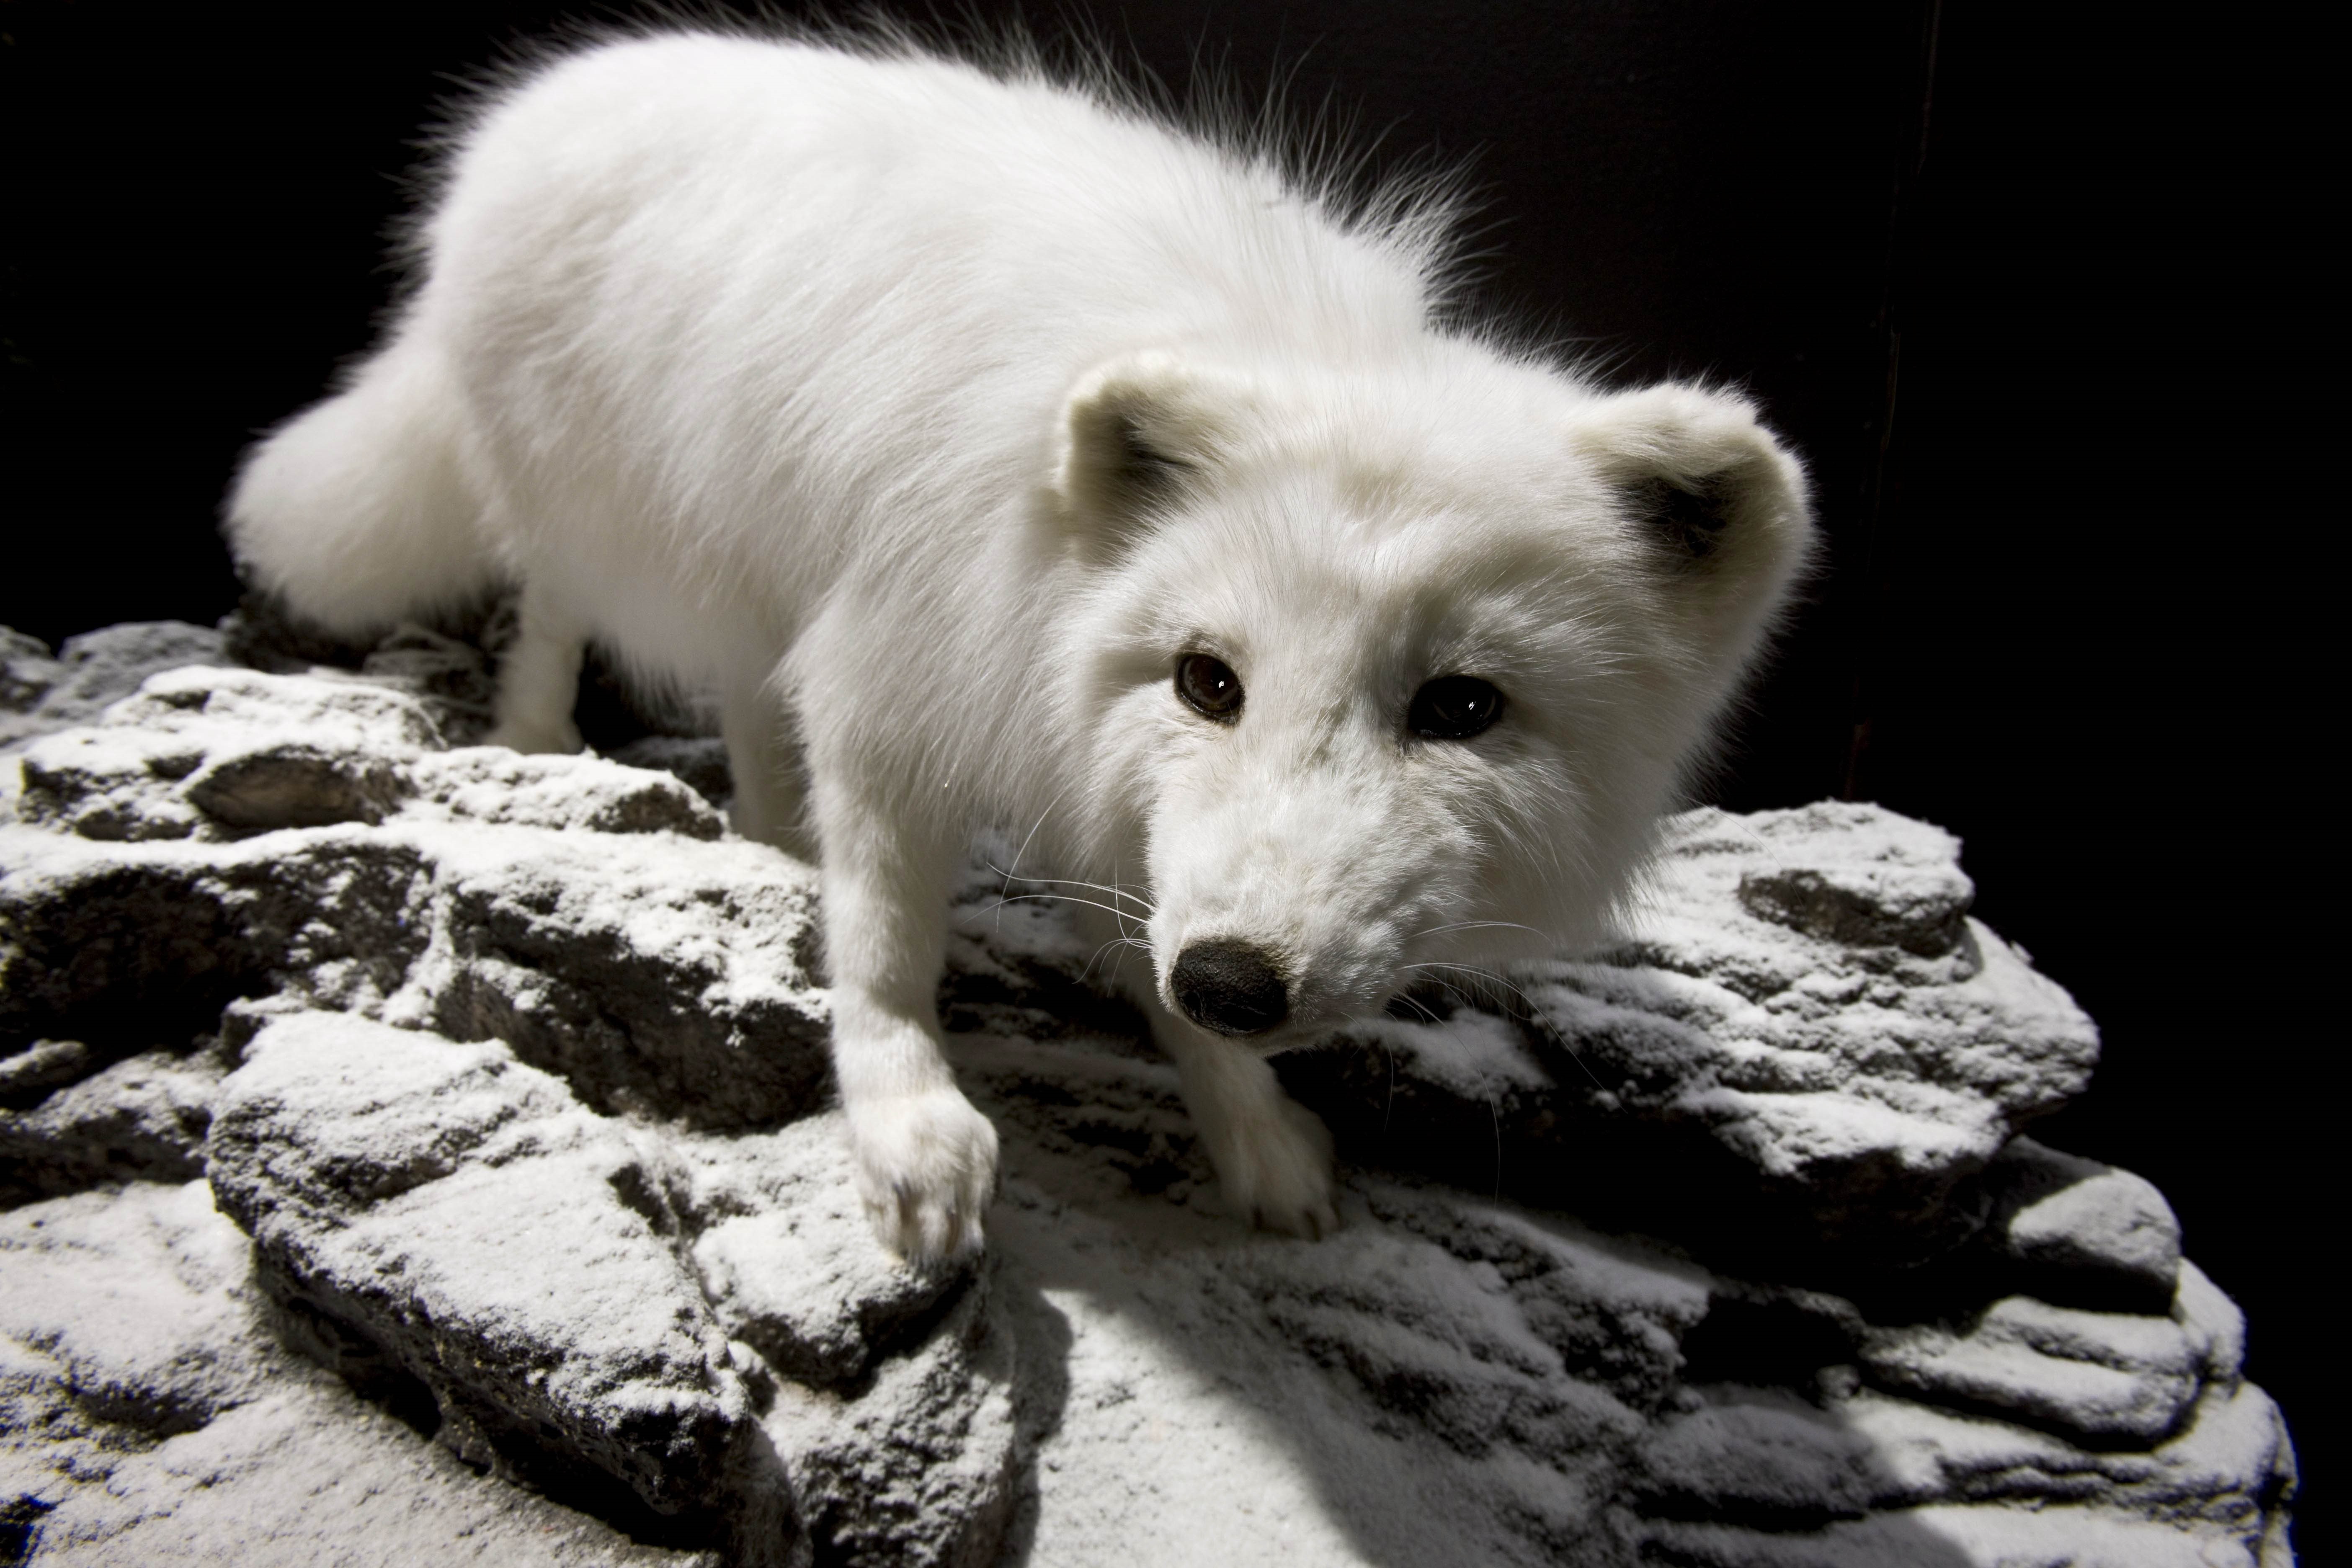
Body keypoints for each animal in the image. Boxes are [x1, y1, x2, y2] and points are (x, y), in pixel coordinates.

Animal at [226, 27, 1814, 1264]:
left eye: (1461, 706)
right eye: (1208, 680)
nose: (1237, 981)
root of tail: (531, 108)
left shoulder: (1085, 778)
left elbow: (1146, 949)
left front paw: (1252, 1134)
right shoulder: (897, 664)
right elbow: (886, 944)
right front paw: (907, 1126)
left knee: (746, 691)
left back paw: (771, 833)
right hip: (601, 507)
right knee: (553, 604)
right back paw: (540, 739)